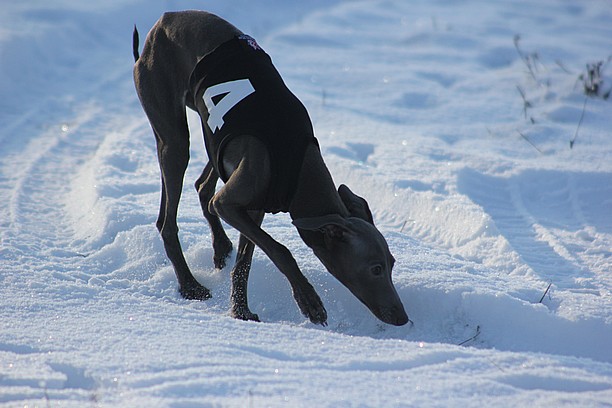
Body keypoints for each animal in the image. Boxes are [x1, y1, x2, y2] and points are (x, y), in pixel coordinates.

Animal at [134, 11, 408, 326]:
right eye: (375, 269)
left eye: (392, 263)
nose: (403, 317)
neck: (300, 171)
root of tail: (164, 20)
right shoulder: (229, 203)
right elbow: (281, 250)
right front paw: (309, 302)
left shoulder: (253, 207)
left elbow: (245, 261)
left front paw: (240, 310)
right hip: (175, 138)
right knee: (168, 221)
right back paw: (190, 285)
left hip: (211, 132)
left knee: (202, 187)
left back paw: (220, 246)